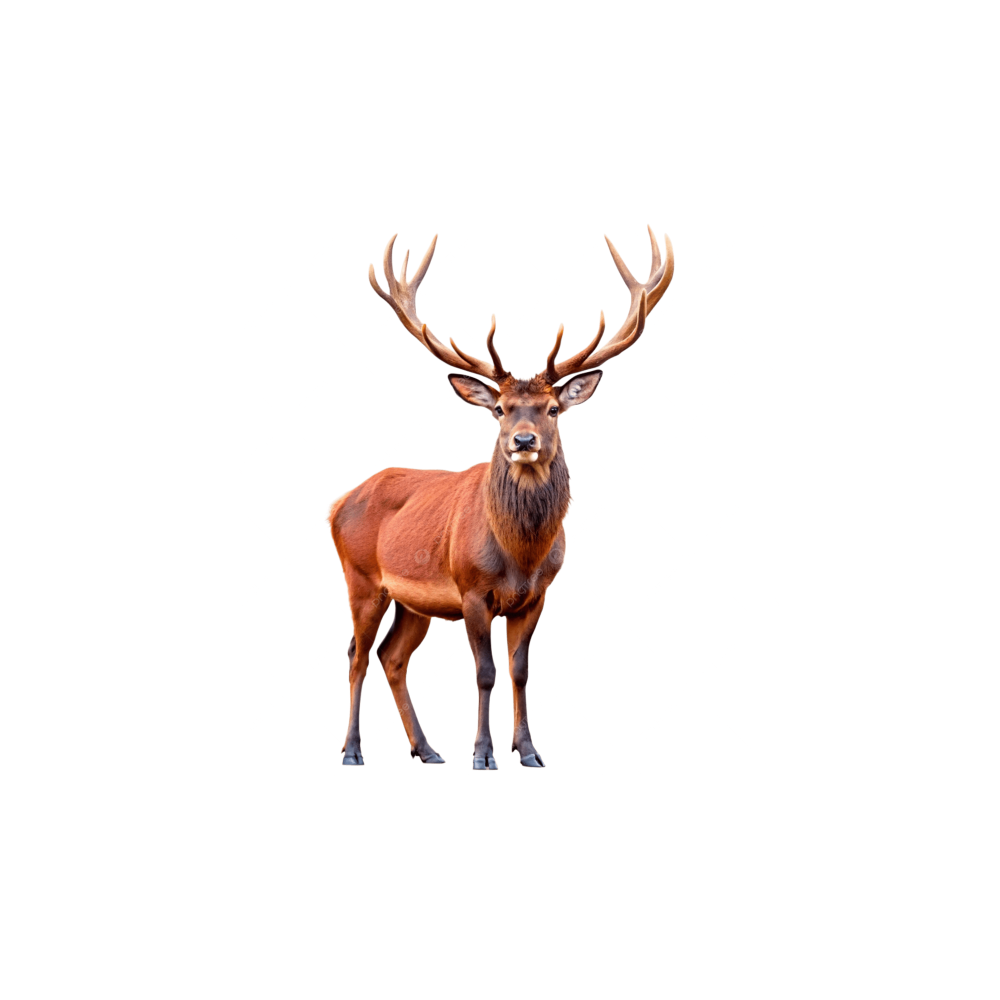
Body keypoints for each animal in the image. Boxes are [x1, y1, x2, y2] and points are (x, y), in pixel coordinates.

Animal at [329, 227, 674, 768]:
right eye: (499, 409)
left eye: (553, 408)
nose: (523, 440)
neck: (521, 555)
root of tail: (337, 502)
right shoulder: (472, 590)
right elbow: (485, 672)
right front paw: (483, 753)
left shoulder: (538, 595)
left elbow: (520, 670)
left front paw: (528, 750)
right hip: (361, 577)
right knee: (356, 654)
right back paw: (352, 750)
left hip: (413, 601)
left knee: (392, 656)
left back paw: (426, 749)